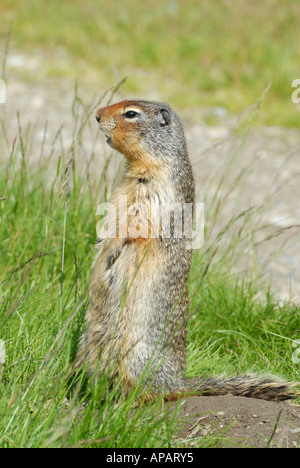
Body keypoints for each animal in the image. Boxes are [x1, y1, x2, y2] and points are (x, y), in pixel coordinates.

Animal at [78, 99, 298, 402]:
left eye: (131, 113)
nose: (97, 115)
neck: (142, 163)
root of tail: (180, 383)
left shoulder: (156, 193)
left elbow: (136, 224)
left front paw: (111, 249)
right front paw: (99, 244)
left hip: (135, 357)